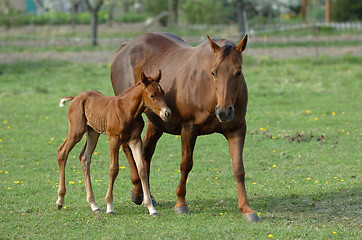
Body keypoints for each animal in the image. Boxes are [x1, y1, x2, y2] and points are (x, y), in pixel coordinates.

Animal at [55, 70, 171, 216]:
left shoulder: (135, 140)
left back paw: (93, 205)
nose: (167, 113)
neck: (127, 110)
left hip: (93, 132)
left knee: (84, 158)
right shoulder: (114, 139)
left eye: (163, 93)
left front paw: (151, 207)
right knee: (62, 152)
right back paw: (60, 200)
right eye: (152, 95)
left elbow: (142, 169)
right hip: (77, 131)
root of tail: (76, 97)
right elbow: (113, 169)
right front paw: (110, 206)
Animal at [111, 31, 258, 221]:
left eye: (238, 72)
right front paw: (181, 203)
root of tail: (126, 47)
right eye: (213, 72)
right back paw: (137, 191)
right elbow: (186, 164)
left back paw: (147, 196)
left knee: (145, 153)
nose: (224, 112)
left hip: (156, 123)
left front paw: (247, 209)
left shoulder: (237, 130)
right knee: (128, 148)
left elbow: (239, 169)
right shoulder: (189, 129)